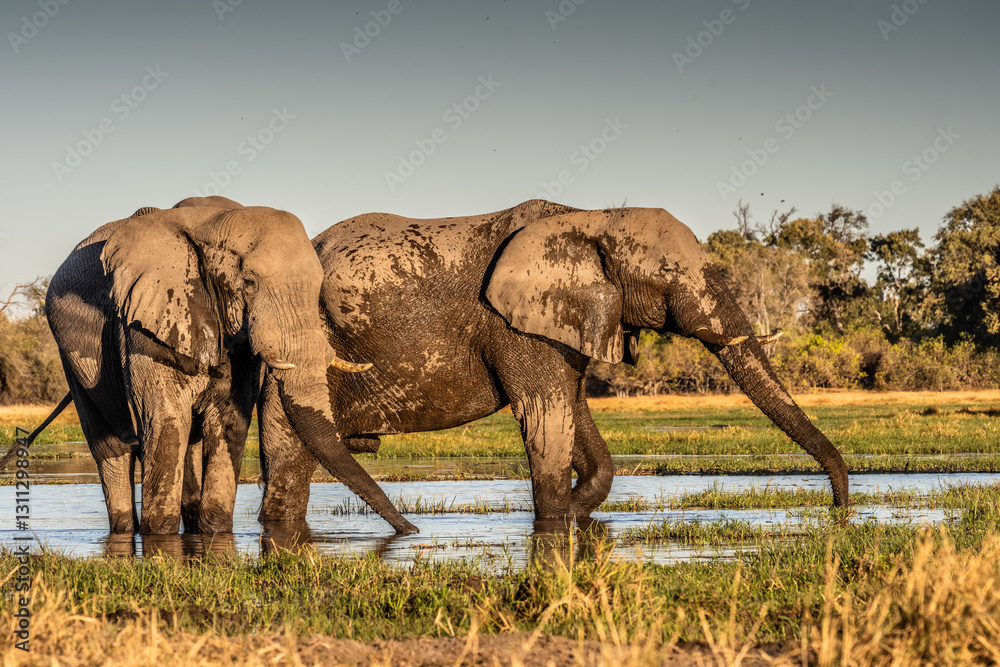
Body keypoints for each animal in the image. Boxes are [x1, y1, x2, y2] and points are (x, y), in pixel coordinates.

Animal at [42, 196, 416, 535]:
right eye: (248, 283)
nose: (410, 530)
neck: (210, 219)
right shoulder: (145, 323)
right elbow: (167, 420)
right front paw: (160, 538)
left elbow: (229, 419)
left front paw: (216, 532)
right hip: (72, 357)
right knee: (113, 450)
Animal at [256, 200, 849, 526]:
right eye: (669, 277)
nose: (840, 510)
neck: (594, 216)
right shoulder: (515, 326)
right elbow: (545, 417)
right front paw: (557, 518)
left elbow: (576, 416)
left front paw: (578, 507)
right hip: (295, 346)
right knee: (287, 450)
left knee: (289, 465)